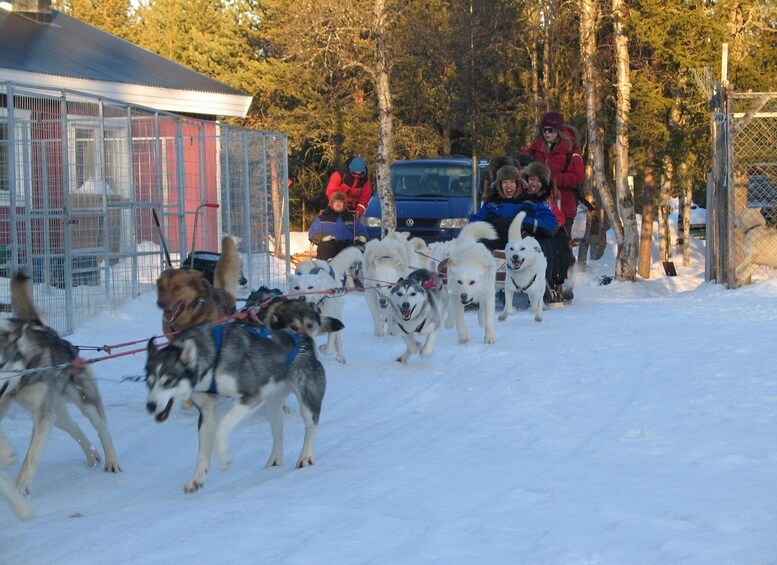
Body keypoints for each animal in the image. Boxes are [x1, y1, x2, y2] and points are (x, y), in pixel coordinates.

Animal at [0, 272, 121, 494]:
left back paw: (112, 461)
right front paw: (7, 454)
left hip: (85, 401)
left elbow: (31, 457)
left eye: (2, 362)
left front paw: (21, 487)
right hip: (56, 413)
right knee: (73, 426)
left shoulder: (43, 416)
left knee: (103, 430)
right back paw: (92, 454)